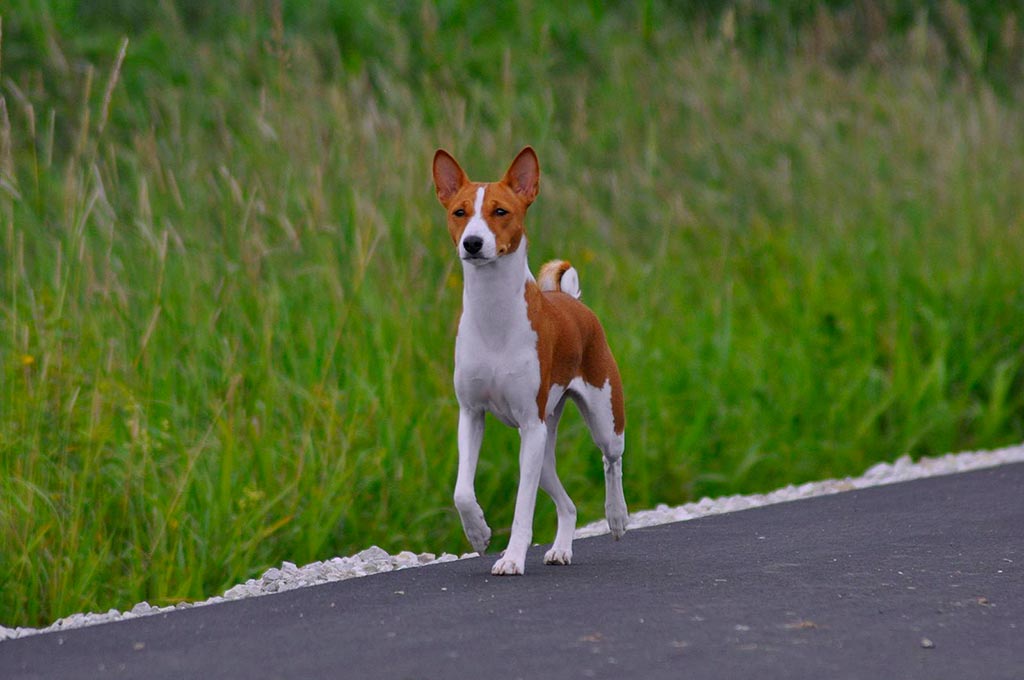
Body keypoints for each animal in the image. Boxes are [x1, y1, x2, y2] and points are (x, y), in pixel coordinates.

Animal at [430, 147, 626, 573]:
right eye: (459, 212)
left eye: (501, 211)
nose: (472, 242)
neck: (494, 318)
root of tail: (570, 299)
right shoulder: (471, 415)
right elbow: (462, 492)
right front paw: (479, 534)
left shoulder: (529, 427)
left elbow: (522, 506)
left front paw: (512, 558)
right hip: (543, 444)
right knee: (568, 505)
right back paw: (561, 549)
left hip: (600, 420)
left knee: (611, 461)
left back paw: (617, 517)